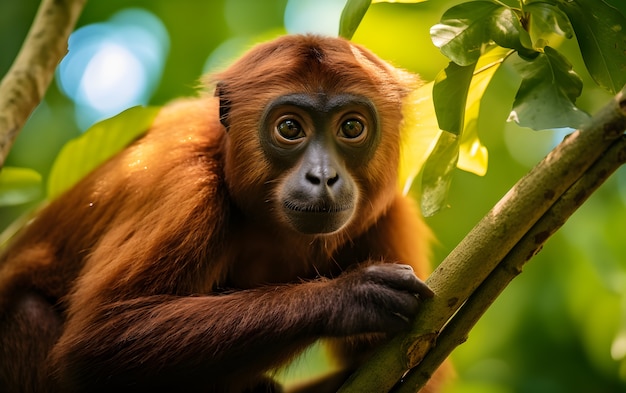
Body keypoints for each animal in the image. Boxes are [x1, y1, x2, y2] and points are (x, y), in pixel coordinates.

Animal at [0, 35, 438, 390]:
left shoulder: (386, 212)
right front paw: (351, 296)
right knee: (29, 313)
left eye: (351, 128)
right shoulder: (182, 181)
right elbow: (97, 341)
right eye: (290, 128)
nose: (323, 176)